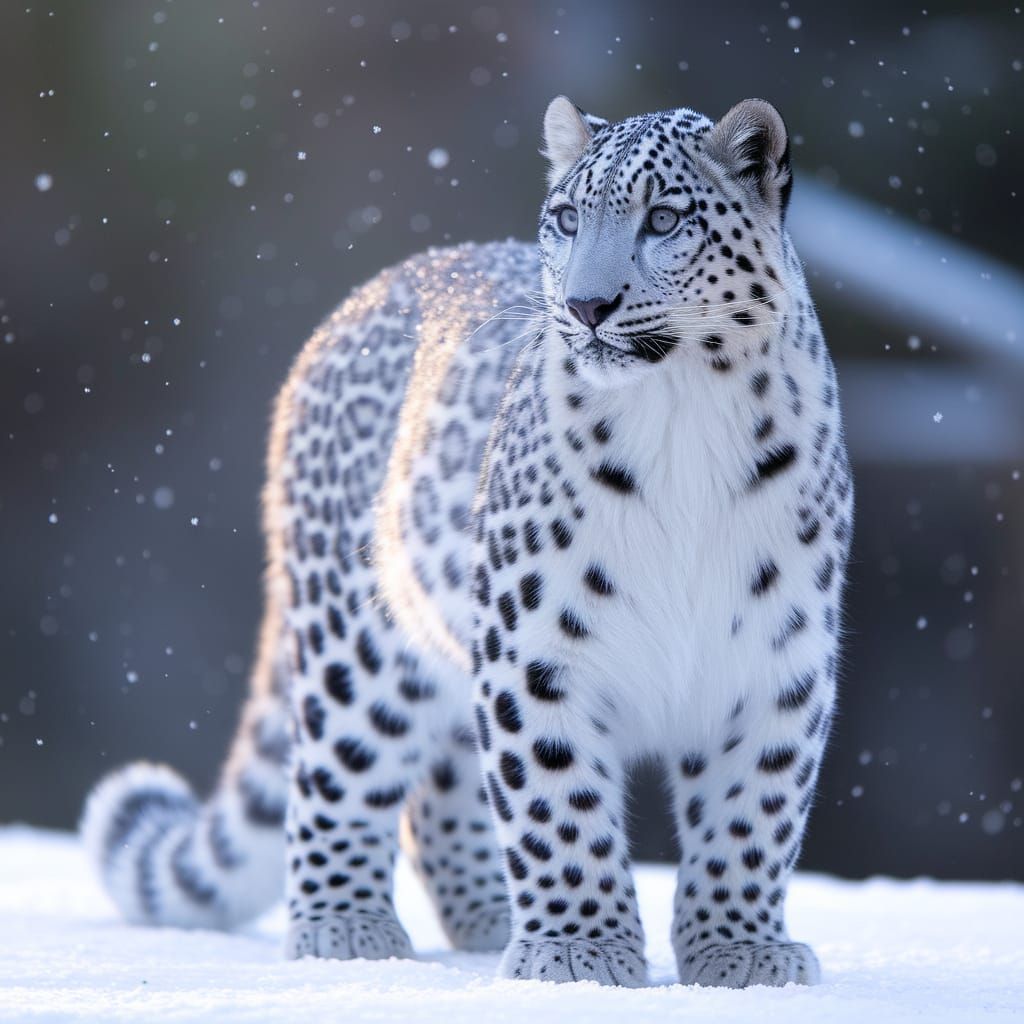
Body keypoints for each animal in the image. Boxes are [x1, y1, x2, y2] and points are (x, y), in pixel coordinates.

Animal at [82, 95, 852, 989]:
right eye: (566, 218)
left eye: (663, 219)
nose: (586, 306)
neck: (682, 414)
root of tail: (363, 297)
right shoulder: (539, 646)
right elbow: (558, 799)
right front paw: (579, 953)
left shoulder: (774, 661)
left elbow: (751, 813)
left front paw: (740, 951)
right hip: (360, 639)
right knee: (342, 768)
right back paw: (347, 930)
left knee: (443, 779)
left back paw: (485, 919)